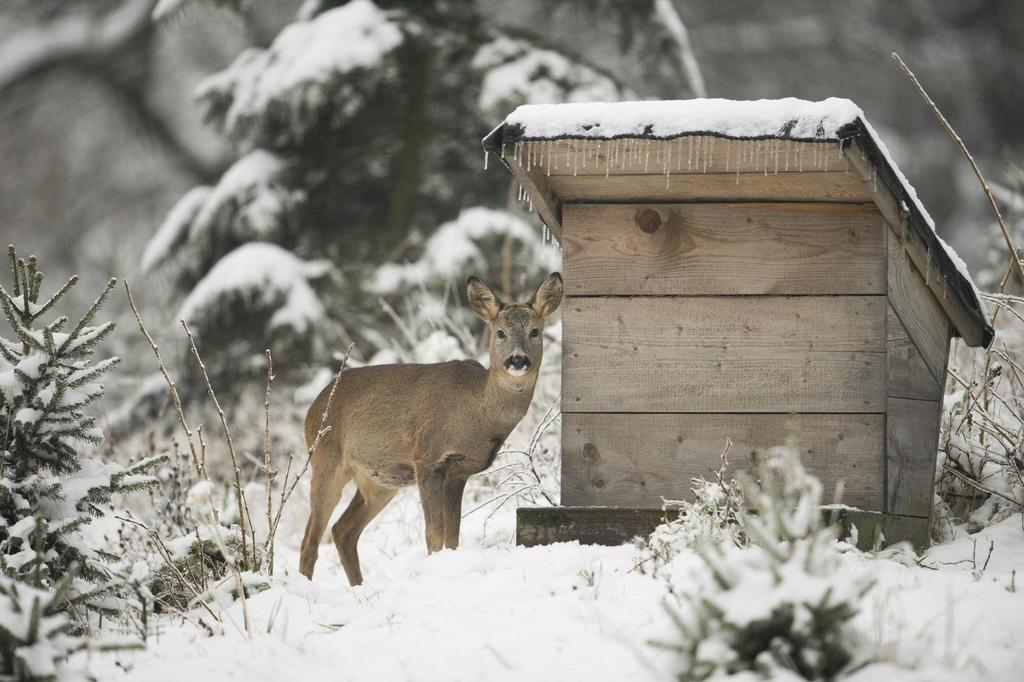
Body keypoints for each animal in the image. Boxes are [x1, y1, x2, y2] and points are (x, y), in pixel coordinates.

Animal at [299, 270, 565, 577]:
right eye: (501, 332)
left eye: (535, 331)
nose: (518, 360)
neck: (477, 412)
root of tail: (312, 408)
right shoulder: (427, 458)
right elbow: (433, 533)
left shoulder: (459, 472)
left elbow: (453, 535)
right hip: (325, 459)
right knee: (310, 540)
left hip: (379, 481)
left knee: (342, 531)